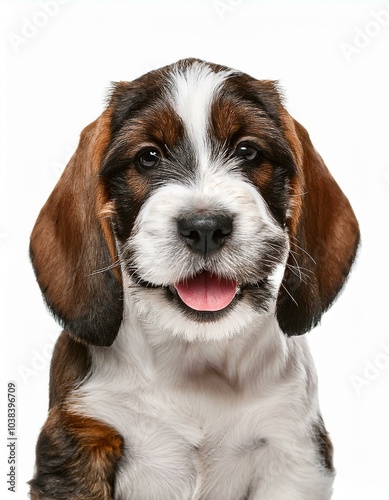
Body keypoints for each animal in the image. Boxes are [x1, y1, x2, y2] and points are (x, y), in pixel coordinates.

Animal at [29, 56, 358, 498]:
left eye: (247, 151)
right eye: (148, 157)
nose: (205, 227)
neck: (195, 361)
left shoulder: (294, 452)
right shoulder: (80, 438)